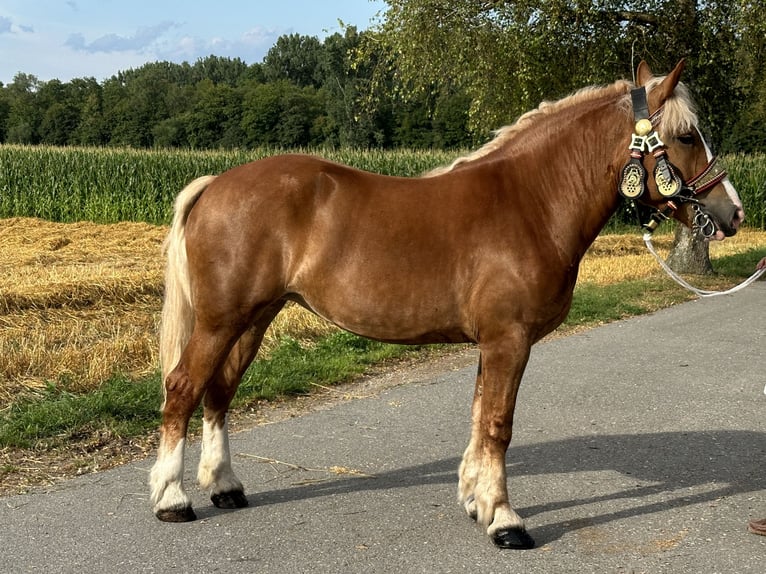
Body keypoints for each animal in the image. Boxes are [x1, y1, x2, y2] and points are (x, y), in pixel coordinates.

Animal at [148, 60, 744, 552]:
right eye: (686, 135)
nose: (733, 213)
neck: (531, 201)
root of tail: (216, 184)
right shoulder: (509, 340)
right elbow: (498, 424)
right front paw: (505, 520)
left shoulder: (492, 343)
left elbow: (480, 416)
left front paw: (476, 500)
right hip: (222, 321)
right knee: (183, 388)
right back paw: (172, 499)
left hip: (252, 319)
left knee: (219, 392)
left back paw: (225, 486)